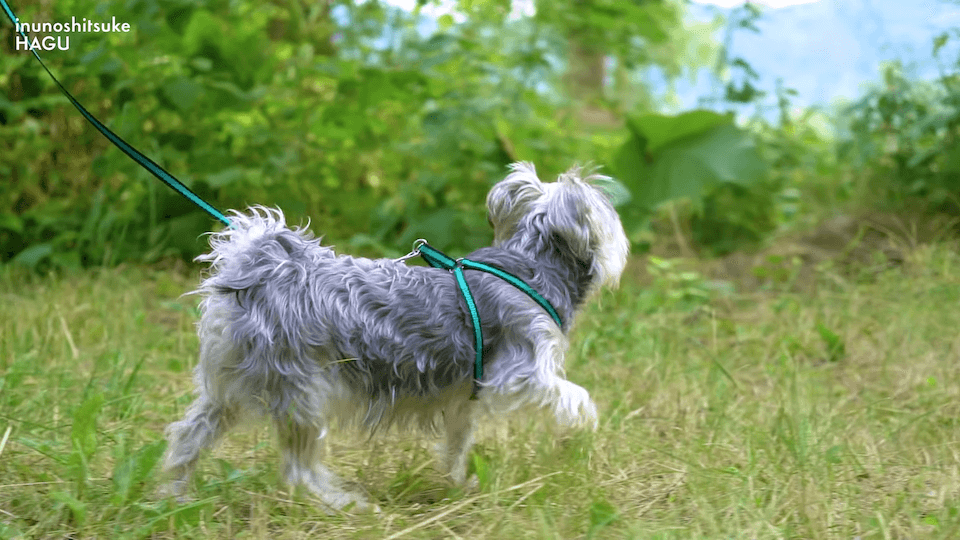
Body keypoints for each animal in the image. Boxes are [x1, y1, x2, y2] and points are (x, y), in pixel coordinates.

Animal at [163, 160, 632, 510]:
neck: (529, 268)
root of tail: (256, 268)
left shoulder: (465, 397)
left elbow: (458, 442)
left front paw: (458, 484)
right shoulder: (520, 375)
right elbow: (577, 397)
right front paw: (583, 428)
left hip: (231, 385)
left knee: (188, 436)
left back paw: (174, 498)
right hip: (303, 392)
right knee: (299, 471)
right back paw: (345, 504)